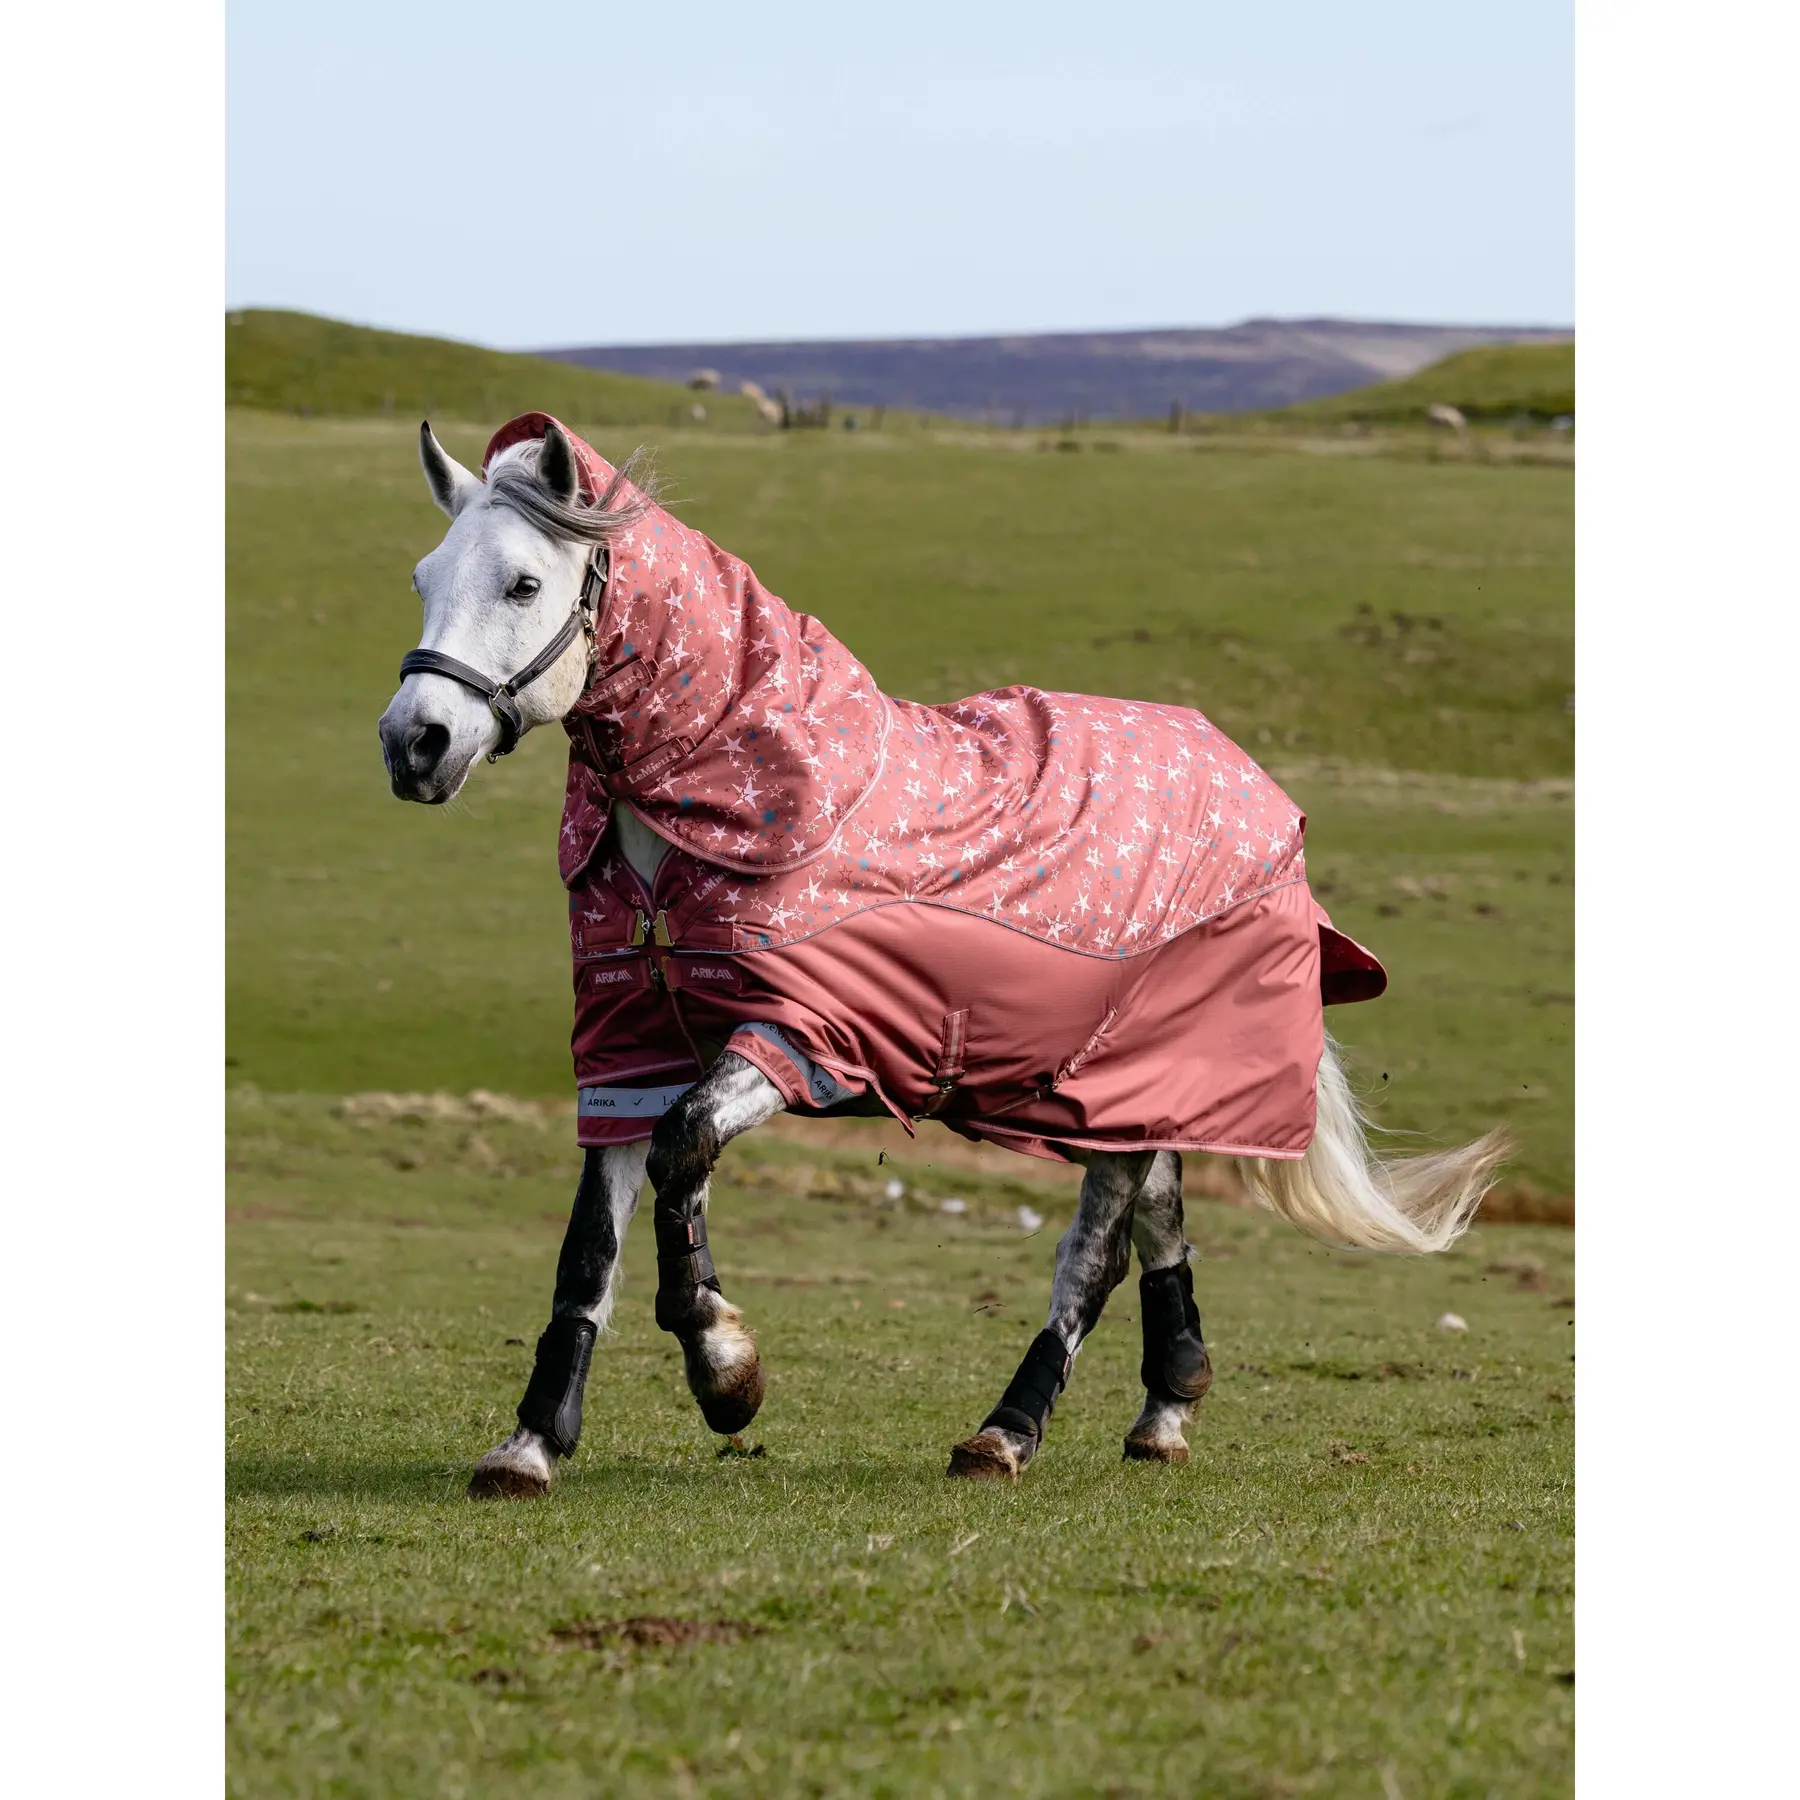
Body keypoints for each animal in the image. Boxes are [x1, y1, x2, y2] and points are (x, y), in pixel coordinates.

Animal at [378, 413, 1505, 1497]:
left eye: (525, 582)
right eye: (424, 578)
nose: (413, 743)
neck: (720, 814)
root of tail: (1262, 794)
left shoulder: (808, 1036)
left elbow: (682, 1149)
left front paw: (725, 1369)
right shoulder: (631, 1047)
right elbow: (590, 1248)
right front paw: (531, 1443)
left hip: (1125, 1082)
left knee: (1094, 1255)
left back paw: (1006, 1433)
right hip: (1126, 1087)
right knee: (1160, 1221)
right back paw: (1165, 1411)